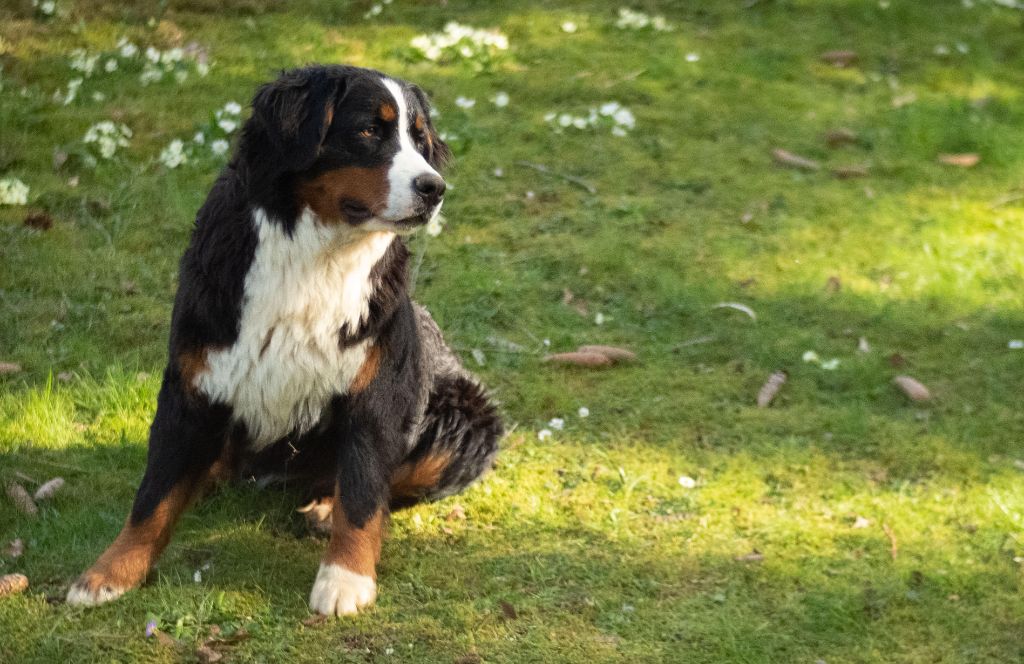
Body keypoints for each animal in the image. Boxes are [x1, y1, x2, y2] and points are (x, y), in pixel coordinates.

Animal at [66, 64, 505, 614]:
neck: (315, 255)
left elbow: (364, 491)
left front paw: (345, 579)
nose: (434, 187)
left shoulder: (379, 391)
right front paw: (108, 573)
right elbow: (154, 493)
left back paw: (323, 508)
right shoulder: (193, 380)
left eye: (420, 140)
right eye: (369, 131)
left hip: (461, 415)